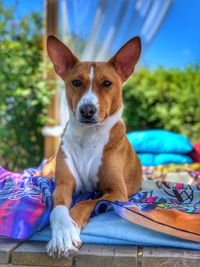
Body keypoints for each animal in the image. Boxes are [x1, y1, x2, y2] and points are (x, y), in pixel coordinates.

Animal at [38, 36, 142, 260]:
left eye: (107, 83)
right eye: (76, 82)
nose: (87, 110)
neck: (88, 136)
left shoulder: (117, 192)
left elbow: (85, 203)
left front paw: (70, 230)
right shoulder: (63, 185)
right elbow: (58, 209)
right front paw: (62, 235)